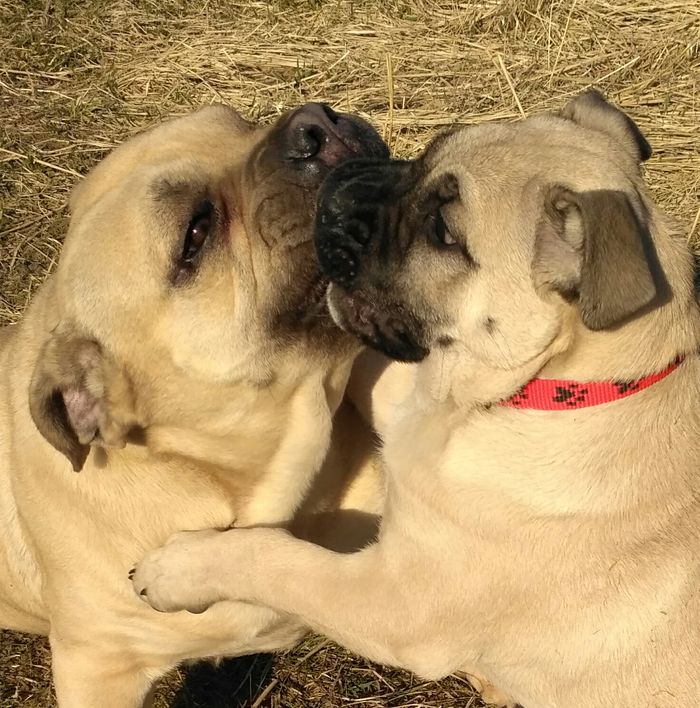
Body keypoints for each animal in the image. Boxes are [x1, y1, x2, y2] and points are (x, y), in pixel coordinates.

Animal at [133, 91, 700, 708]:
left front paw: (177, 568)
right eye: (428, 153)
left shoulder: (394, 602)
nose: (347, 178)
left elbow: (276, 558)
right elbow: (371, 375)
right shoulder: (414, 405)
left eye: (443, 232)